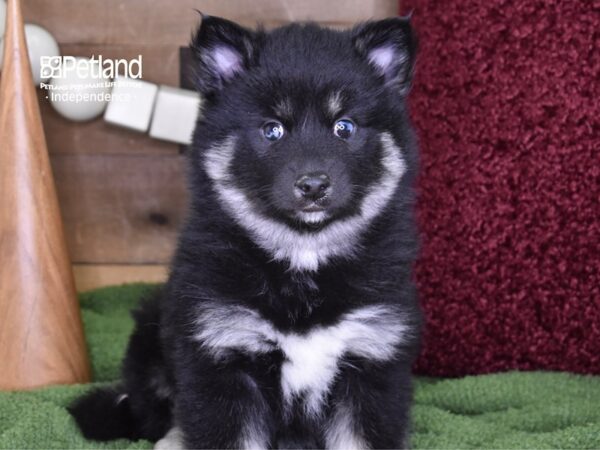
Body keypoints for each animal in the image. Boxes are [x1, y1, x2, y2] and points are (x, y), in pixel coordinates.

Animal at [71, 14, 422, 450]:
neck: (302, 259)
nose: (313, 185)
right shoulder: (222, 357)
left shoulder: (372, 359)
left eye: (344, 127)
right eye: (272, 130)